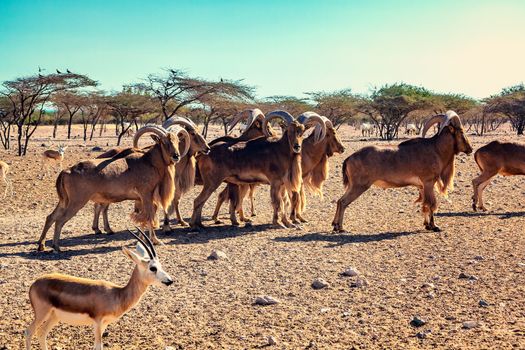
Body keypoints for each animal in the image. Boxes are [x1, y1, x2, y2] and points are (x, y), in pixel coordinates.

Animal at [25, 228, 172, 348]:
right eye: (153, 268)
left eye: (160, 265)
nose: (170, 281)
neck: (116, 295)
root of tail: (35, 283)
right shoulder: (97, 322)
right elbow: (98, 346)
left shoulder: (105, 323)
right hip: (42, 314)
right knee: (29, 332)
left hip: (54, 316)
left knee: (42, 333)